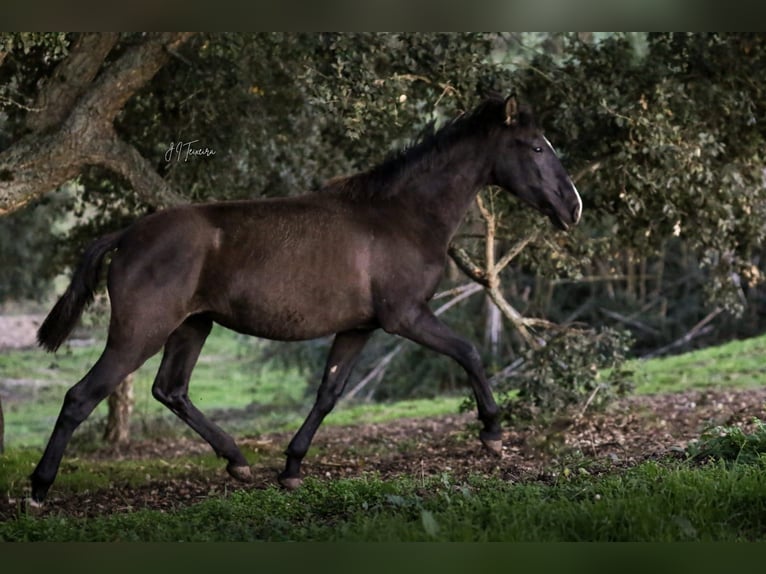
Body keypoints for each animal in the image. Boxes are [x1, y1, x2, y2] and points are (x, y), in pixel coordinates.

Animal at [28, 95, 584, 504]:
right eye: (536, 147)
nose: (572, 208)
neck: (400, 215)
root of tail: (127, 235)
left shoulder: (359, 327)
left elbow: (328, 394)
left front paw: (292, 467)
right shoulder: (405, 316)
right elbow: (469, 352)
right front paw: (492, 432)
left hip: (192, 327)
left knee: (171, 391)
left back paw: (238, 462)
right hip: (140, 333)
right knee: (81, 396)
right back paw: (39, 489)